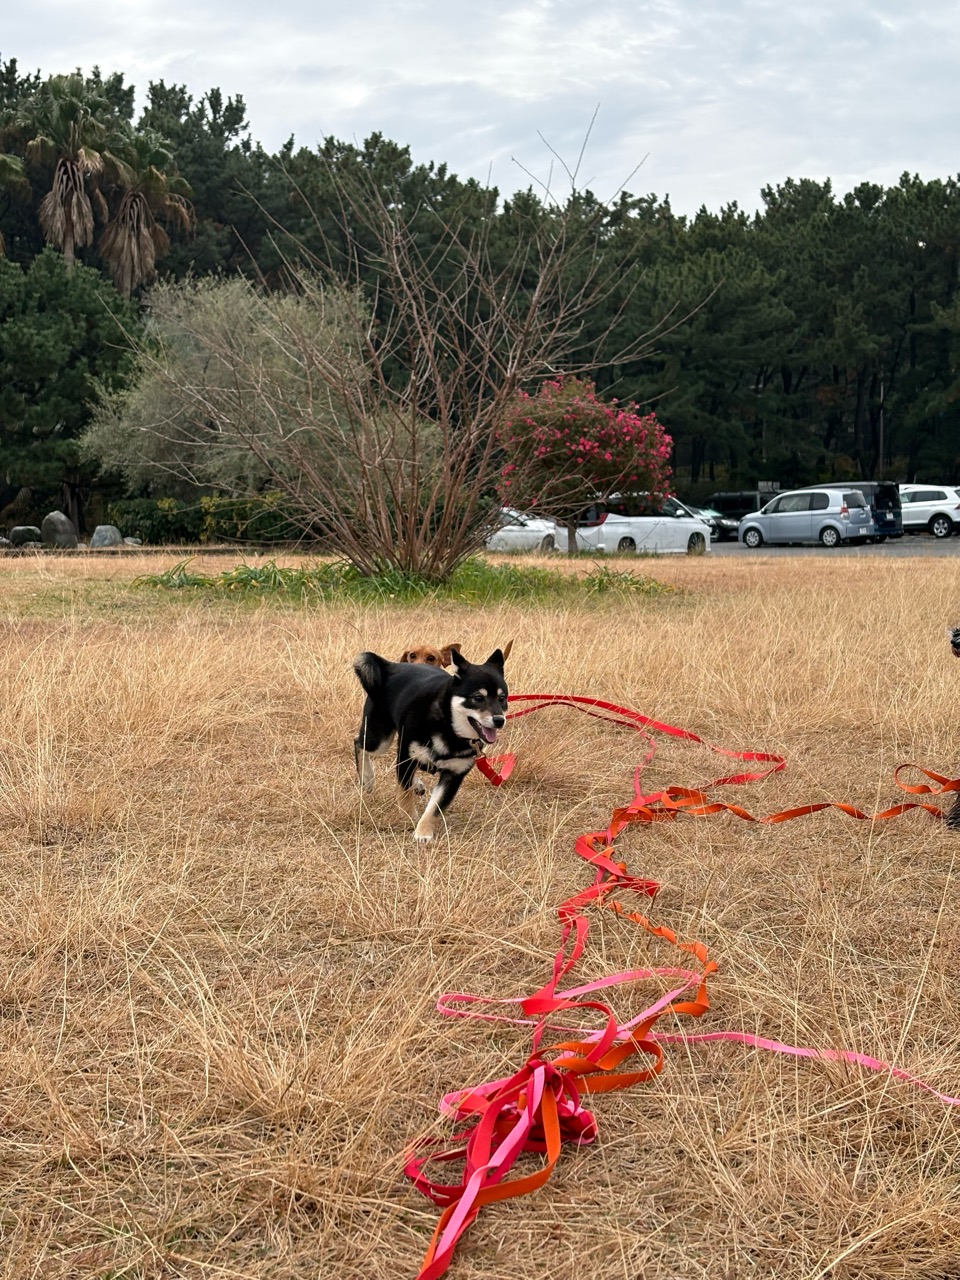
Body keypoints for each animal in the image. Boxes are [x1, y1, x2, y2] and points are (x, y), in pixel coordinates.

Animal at [353, 647, 509, 842]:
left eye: (502, 698)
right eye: (478, 698)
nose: (499, 720)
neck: (449, 728)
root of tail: (390, 666)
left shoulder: (454, 775)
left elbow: (435, 807)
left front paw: (424, 832)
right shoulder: (407, 755)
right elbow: (404, 793)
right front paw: (408, 817)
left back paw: (416, 784)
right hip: (380, 739)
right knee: (359, 743)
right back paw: (367, 777)